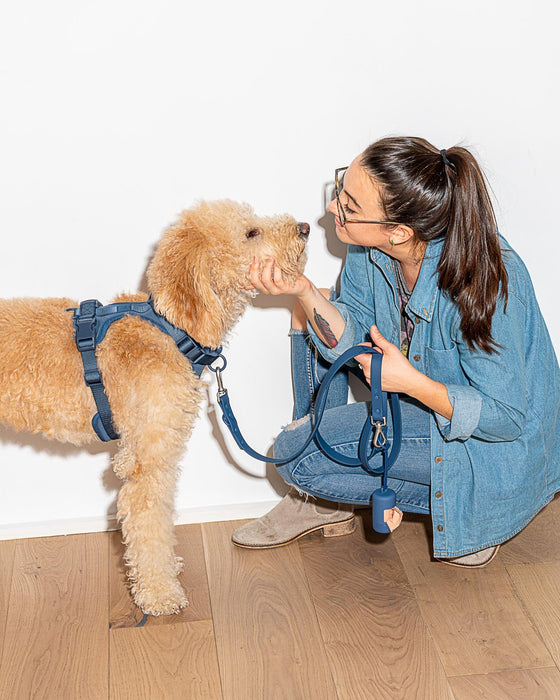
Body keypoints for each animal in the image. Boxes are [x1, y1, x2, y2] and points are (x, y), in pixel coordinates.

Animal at [0, 200, 310, 616]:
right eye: (250, 232)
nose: (305, 227)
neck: (173, 331)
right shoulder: (148, 461)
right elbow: (150, 523)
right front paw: (161, 594)